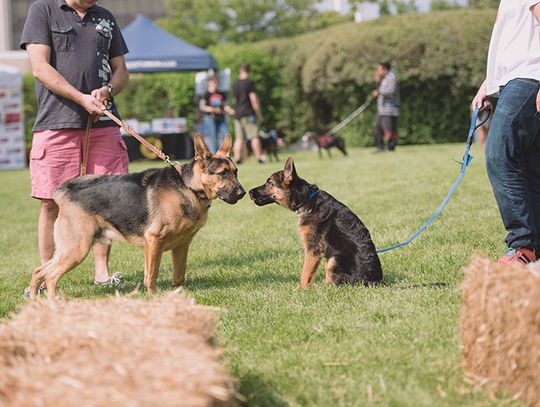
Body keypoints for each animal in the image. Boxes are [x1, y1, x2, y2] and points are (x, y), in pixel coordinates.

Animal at [29, 135, 245, 298]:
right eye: (223, 173)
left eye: (235, 172)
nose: (243, 193)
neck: (188, 187)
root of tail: (65, 194)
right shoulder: (154, 242)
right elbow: (151, 275)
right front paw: (152, 298)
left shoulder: (182, 246)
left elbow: (179, 276)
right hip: (77, 249)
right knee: (50, 276)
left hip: (67, 249)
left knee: (39, 271)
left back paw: (34, 300)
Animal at [248, 158, 380, 288]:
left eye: (269, 183)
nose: (249, 192)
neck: (306, 199)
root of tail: (375, 282)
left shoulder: (312, 250)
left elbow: (305, 274)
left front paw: (300, 290)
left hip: (334, 259)